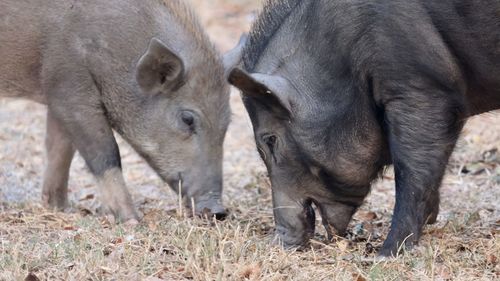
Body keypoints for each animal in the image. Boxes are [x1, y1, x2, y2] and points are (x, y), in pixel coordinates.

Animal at [0, 1, 230, 222]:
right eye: (187, 119)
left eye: (227, 123)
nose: (218, 211)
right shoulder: (68, 86)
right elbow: (104, 151)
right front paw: (132, 220)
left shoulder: (56, 96)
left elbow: (59, 149)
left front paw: (61, 208)